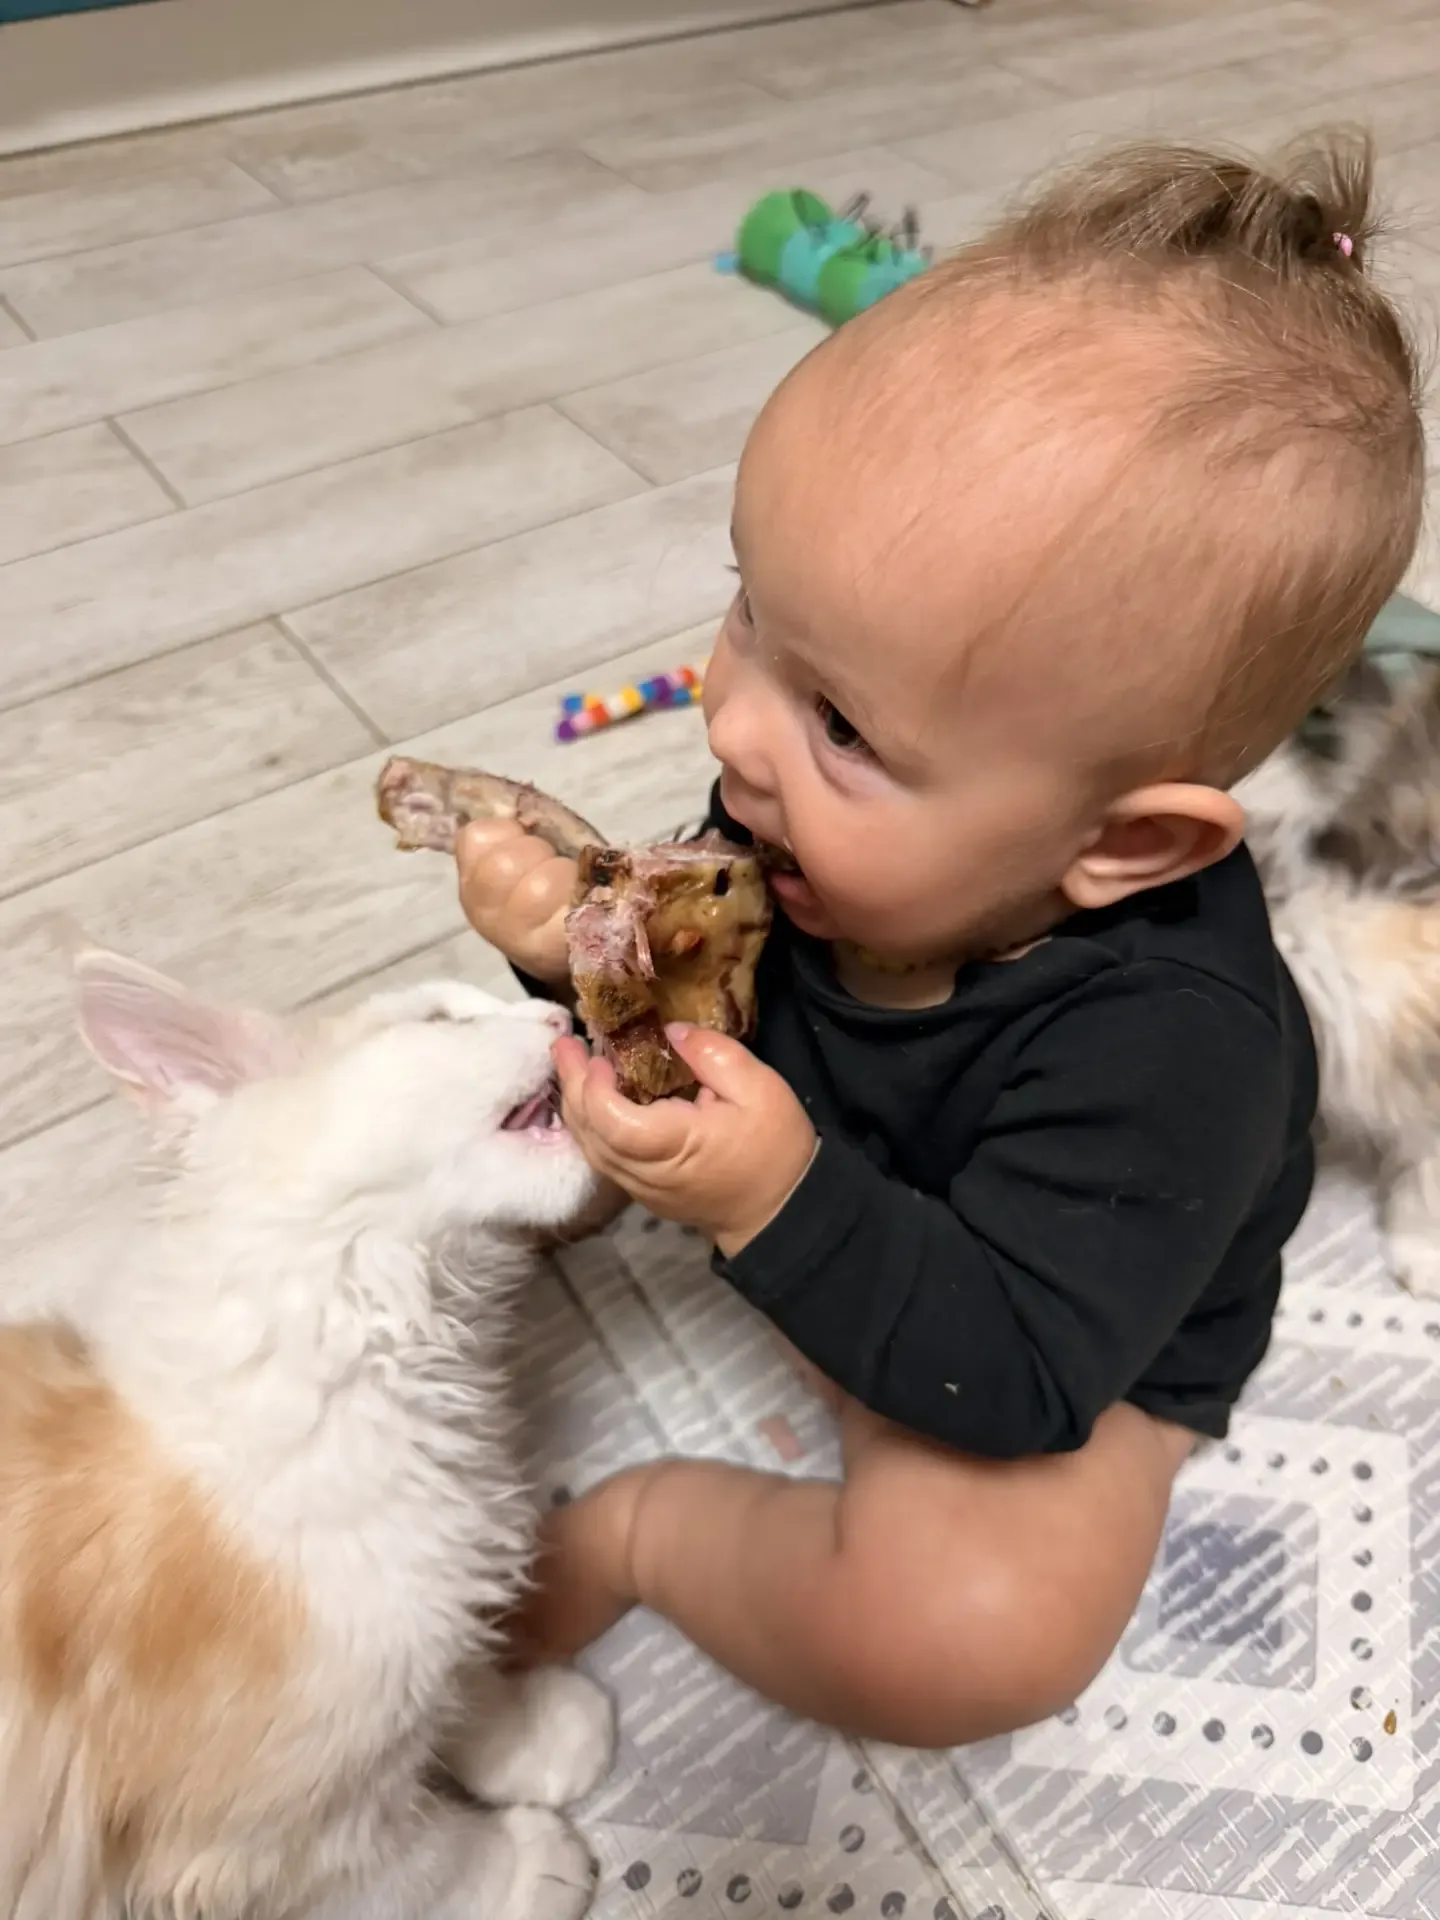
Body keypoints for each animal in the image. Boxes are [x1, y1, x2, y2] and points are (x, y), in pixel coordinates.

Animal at [0, 953, 616, 1920]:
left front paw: (537, 1741)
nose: (560, 1016)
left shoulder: (420, 1609)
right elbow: (424, 1865)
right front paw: (528, 1869)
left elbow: (460, 1685)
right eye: (438, 1021)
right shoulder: (254, 1843)